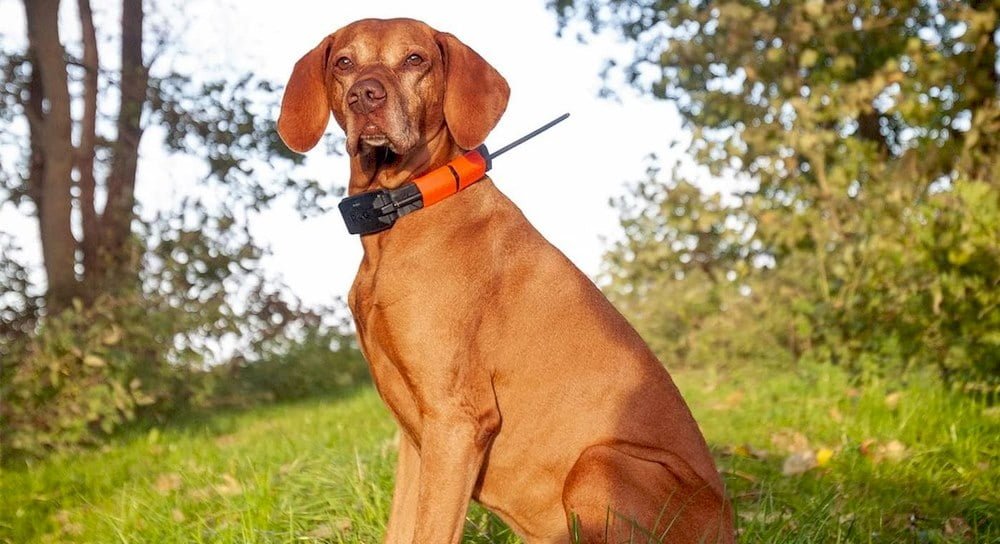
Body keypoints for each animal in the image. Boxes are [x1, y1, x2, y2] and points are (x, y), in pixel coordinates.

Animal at [278, 17, 732, 544]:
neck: (401, 216)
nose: (364, 97)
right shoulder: (417, 438)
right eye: (343, 62)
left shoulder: (456, 420)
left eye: (414, 59)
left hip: (599, 465)